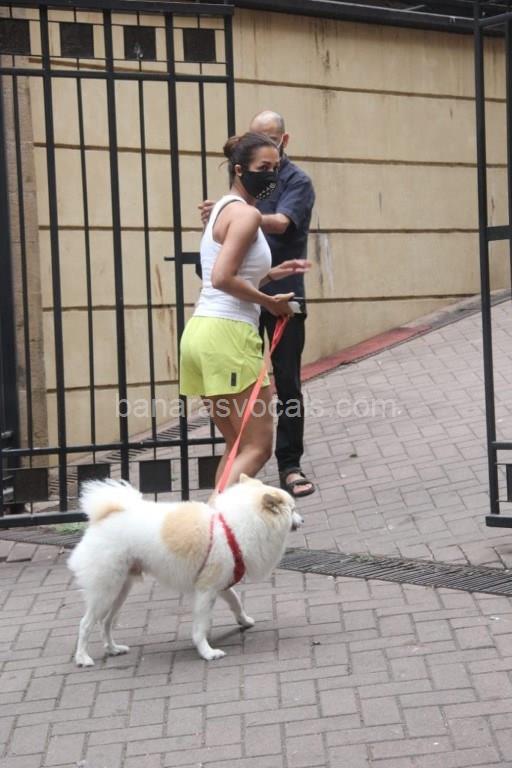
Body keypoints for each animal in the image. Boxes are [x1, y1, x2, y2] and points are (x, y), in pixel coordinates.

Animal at [68, 474, 303, 665]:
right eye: (292, 510)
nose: (302, 519)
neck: (231, 526)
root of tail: (102, 519)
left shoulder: (220, 583)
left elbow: (236, 601)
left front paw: (244, 621)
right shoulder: (206, 590)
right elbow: (200, 627)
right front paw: (207, 652)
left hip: (120, 589)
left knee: (106, 622)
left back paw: (113, 649)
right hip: (106, 590)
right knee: (85, 623)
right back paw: (82, 658)